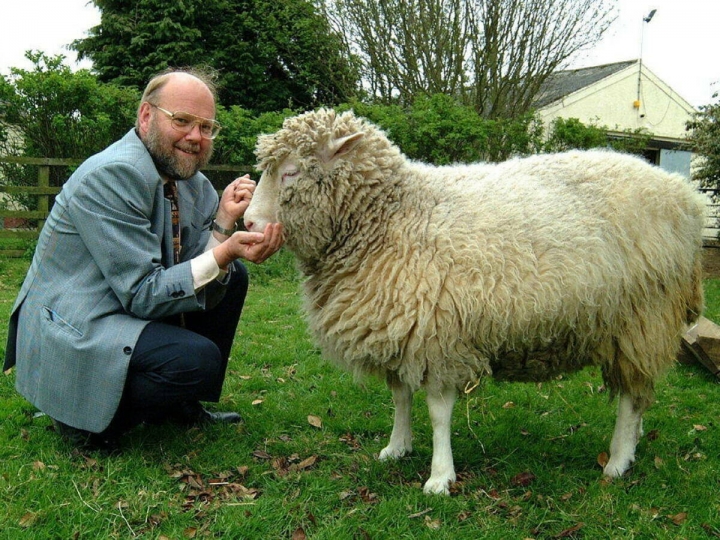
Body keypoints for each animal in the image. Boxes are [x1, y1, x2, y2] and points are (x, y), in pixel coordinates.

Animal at [245, 107, 704, 496]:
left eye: (290, 172)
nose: (247, 222)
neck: (392, 215)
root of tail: (684, 195)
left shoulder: (437, 334)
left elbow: (438, 412)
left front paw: (439, 476)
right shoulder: (398, 325)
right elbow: (399, 396)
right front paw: (397, 447)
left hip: (642, 317)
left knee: (630, 397)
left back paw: (618, 459)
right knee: (639, 393)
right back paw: (634, 442)